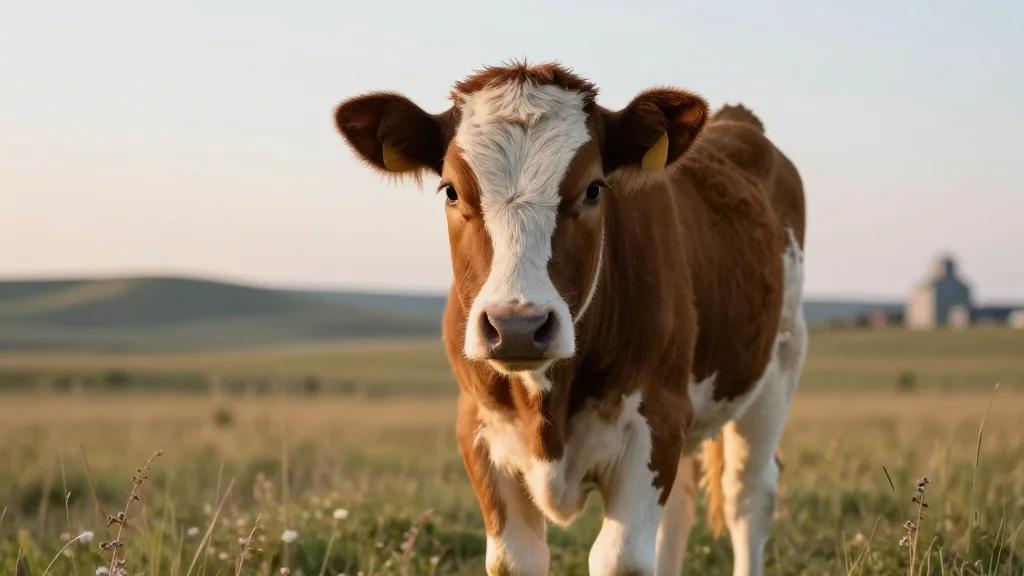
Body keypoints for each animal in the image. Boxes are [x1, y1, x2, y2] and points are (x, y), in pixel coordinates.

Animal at [334, 62, 806, 576]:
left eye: (594, 188)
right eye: (451, 190)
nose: (517, 328)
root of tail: (736, 119)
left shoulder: (655, 421)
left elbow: (620, 558)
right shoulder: (480, 431)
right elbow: (516, 558)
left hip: (776, 367)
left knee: (749, 495)